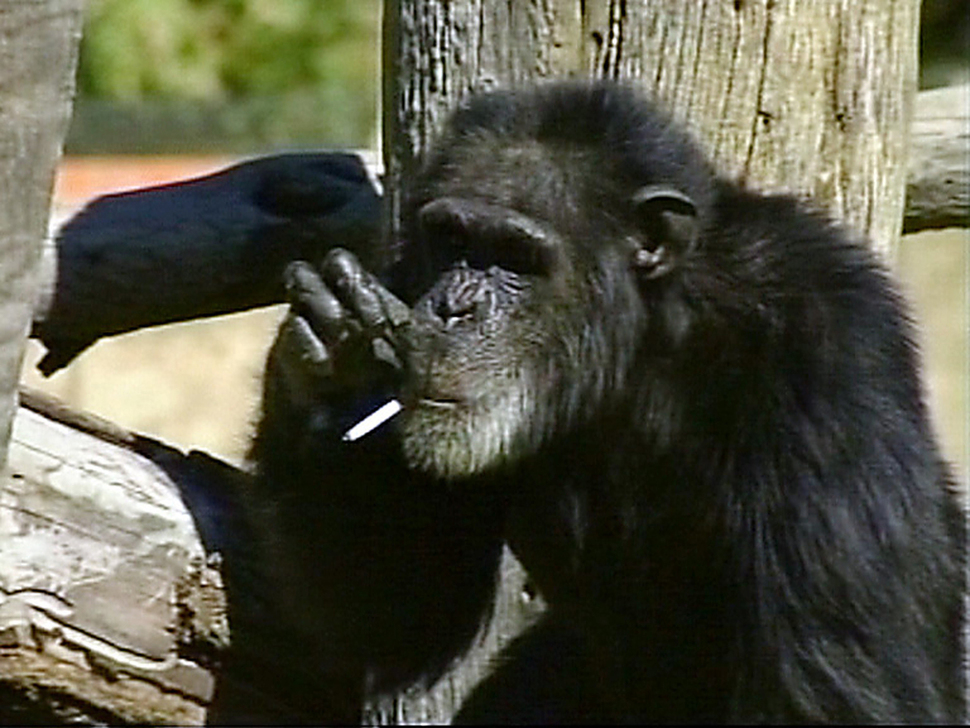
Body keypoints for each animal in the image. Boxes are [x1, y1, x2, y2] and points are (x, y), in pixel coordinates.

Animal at [248, 81, 960, 724]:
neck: (643, 343)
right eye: (450, 240)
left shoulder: (826, 355)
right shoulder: (400, 276)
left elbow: (830, 689)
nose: (452, 308)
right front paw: (339, 366)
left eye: (515, 256)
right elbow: (400, 612)